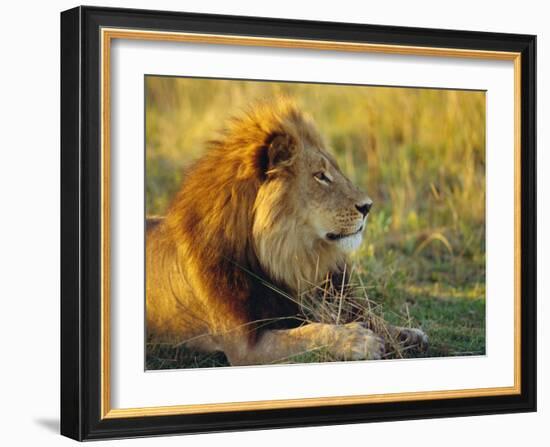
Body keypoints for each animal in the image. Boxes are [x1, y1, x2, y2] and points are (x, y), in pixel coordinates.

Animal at [146, 99, 426, 368]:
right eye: (320, 176)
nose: (368, 206)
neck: (286, 256)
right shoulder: (245, 347)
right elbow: (307, 333)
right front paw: (357, 339)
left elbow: (372, 319)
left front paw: (407, 333)